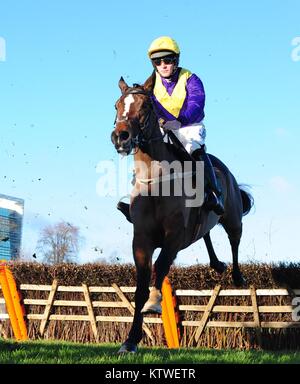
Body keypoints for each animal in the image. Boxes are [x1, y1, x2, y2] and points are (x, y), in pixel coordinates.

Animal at [110, 73, 253, 354]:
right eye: (117, 106)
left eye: (145, 107)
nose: (120, 136)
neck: (156, 183)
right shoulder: (141, 240)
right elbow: (140, 287)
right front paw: (131, 340)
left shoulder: (174, 237)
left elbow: (161, 266)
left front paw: (155, 301)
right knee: (206, 233)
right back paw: (217, 264)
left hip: (232, 217)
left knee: (235, 239)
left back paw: (236, 275)